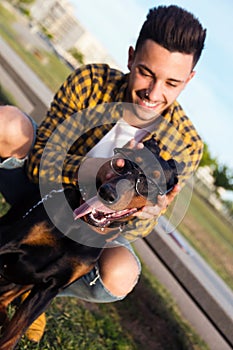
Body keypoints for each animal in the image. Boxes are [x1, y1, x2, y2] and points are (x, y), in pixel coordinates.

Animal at [0, 138, 184, 348]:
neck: (82, 227)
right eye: (125, 163)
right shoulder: (9, 241)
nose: (108, 193)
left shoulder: (51, 288)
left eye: (151, 182)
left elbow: (14, 333)